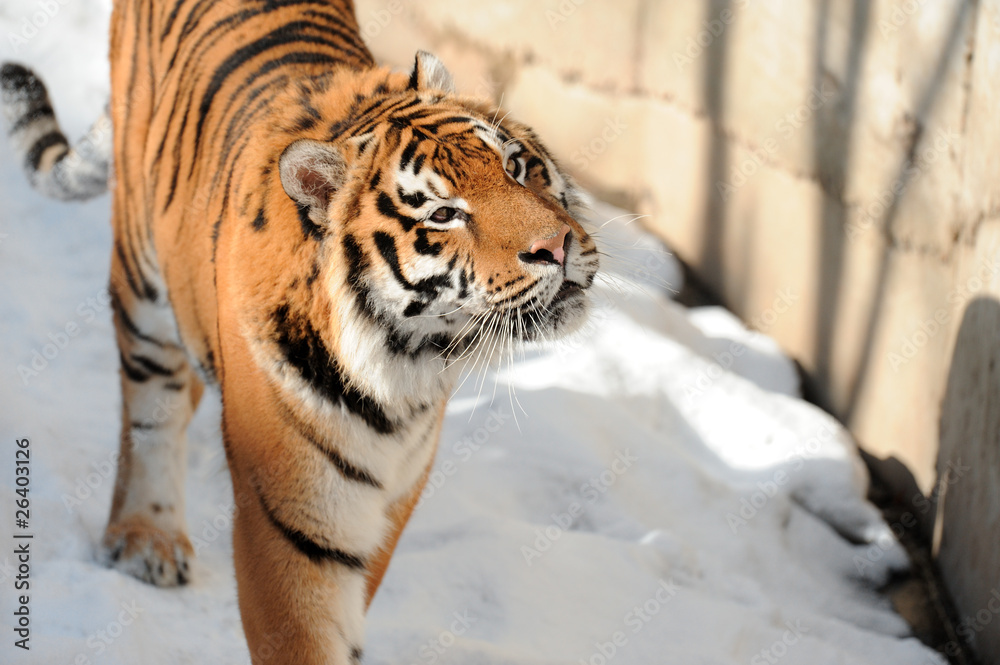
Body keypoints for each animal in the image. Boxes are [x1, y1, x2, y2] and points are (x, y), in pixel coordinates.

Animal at [0, 1, 598, 662]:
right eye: (443, 214)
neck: (403, 368)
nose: (558, 246)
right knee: (151, 406)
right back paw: (145, 538)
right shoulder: (295, 521)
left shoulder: (391, 501)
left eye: (515, 166)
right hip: (139, 270)